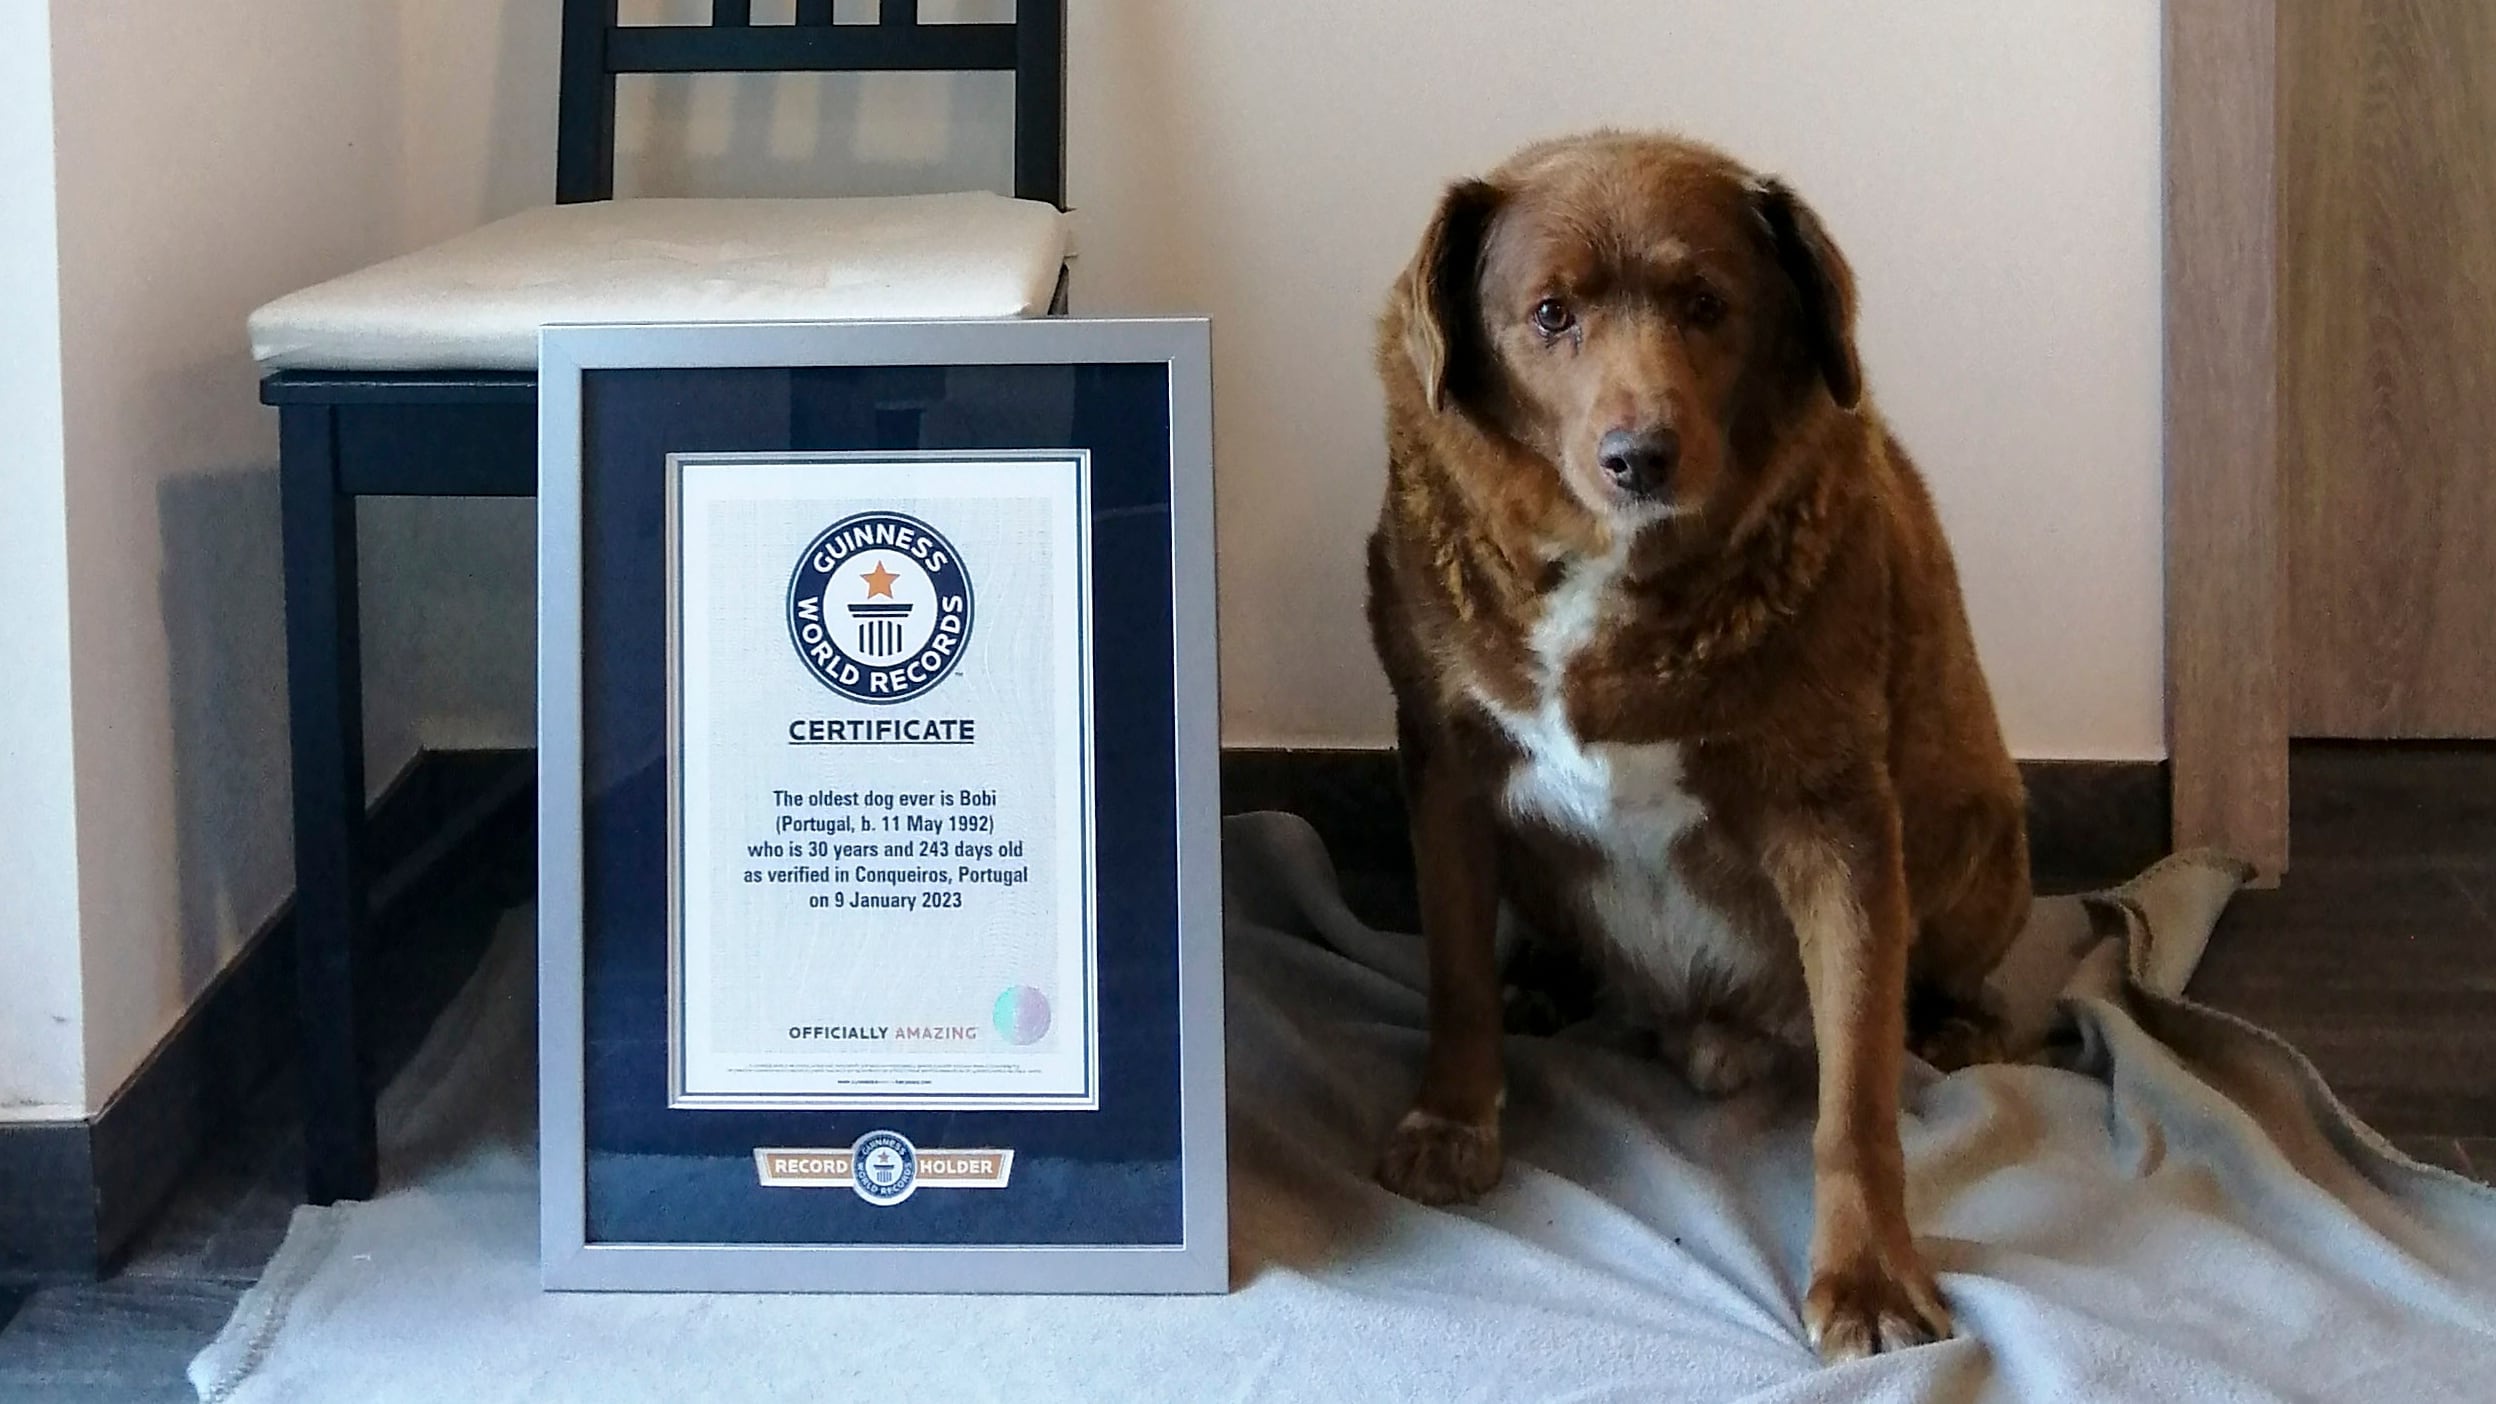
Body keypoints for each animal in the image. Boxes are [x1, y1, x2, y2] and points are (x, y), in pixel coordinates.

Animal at [1367, 131, 2026, 1359]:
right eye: (1551, 314)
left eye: (1708, 304)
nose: (1642, 455)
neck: (1613, 573)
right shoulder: (1445, 766)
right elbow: (1454, 976)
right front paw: (1451, 1121)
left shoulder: (1838, 822)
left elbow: (1854, 1093)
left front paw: (1868, 1278)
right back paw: (1544, 980)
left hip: (1982, 836)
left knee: (1938, 986)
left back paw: (1957, 1025)